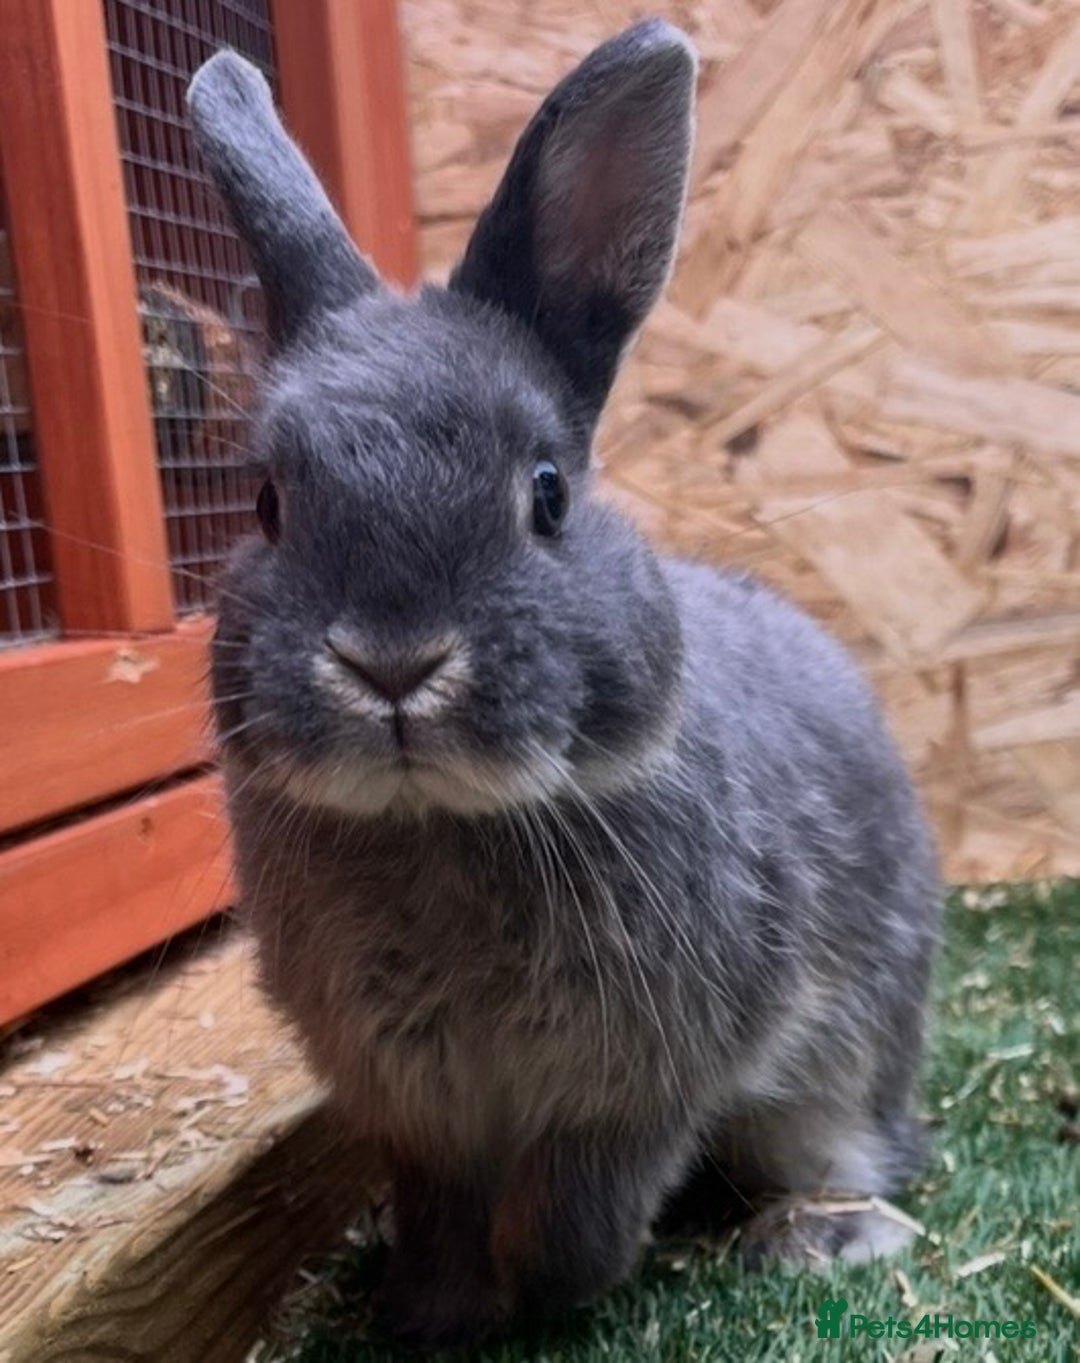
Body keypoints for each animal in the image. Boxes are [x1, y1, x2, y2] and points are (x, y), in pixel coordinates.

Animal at [189, 19, 940, 1350]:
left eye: (546, 494)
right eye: (269, 502)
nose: (393, 663)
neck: (436, 826)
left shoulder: (632, 1092)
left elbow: (578, 1210)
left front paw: (544, 1295)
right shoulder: (419, 1108)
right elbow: (438, 1211)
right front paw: (431, 1314)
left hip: (849, 1056)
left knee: (852, 1144)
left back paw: (820, 1236)